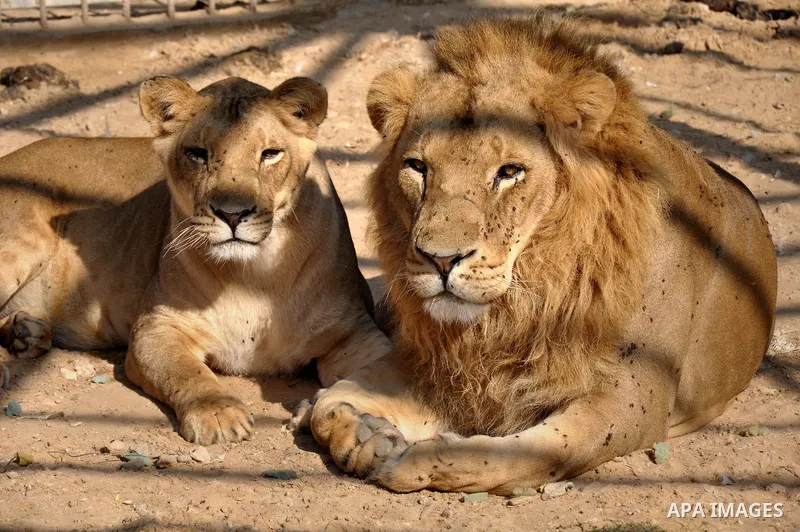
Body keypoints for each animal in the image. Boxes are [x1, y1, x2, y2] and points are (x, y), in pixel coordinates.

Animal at [0, 75, 391, 445]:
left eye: (269, 154)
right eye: (198, 153)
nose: (232, 214)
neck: (255, 274)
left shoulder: (353, 331)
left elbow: (377, 376)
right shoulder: (156, 328)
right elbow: (188, 373)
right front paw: (218, 414)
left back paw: (26, 332)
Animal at [305, 14, 778, 493]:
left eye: (510, 171)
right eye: (418, 167)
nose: (439, 260)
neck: (525, 300)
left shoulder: (635, 395)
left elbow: (532, 452)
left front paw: (421, 461)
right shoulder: (435, 363)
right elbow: (327, 407)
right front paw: (366, 435)